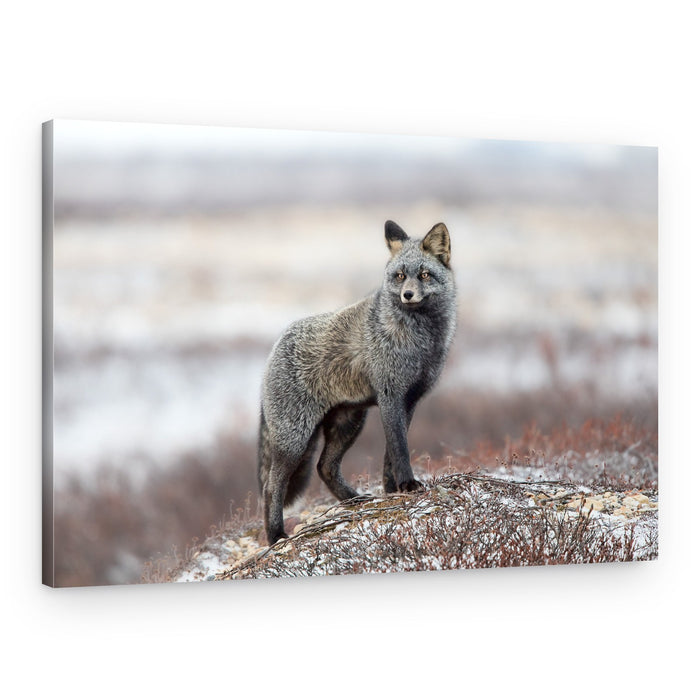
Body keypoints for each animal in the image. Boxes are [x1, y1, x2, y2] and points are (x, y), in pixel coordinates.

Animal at [257, 220, 457, 544]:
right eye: (399, 276)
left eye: (425, 275)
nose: (408, 295)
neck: (419, 341)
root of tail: (275, 346)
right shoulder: (390, 395)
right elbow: (400, 448)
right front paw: (407, 484)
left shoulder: (410, 399)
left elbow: (391, 453)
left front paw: (393, 489)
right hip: (295, 440)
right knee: (271, 486)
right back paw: (275, 535)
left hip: (349, 424)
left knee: (324, 467)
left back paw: (353, 500)